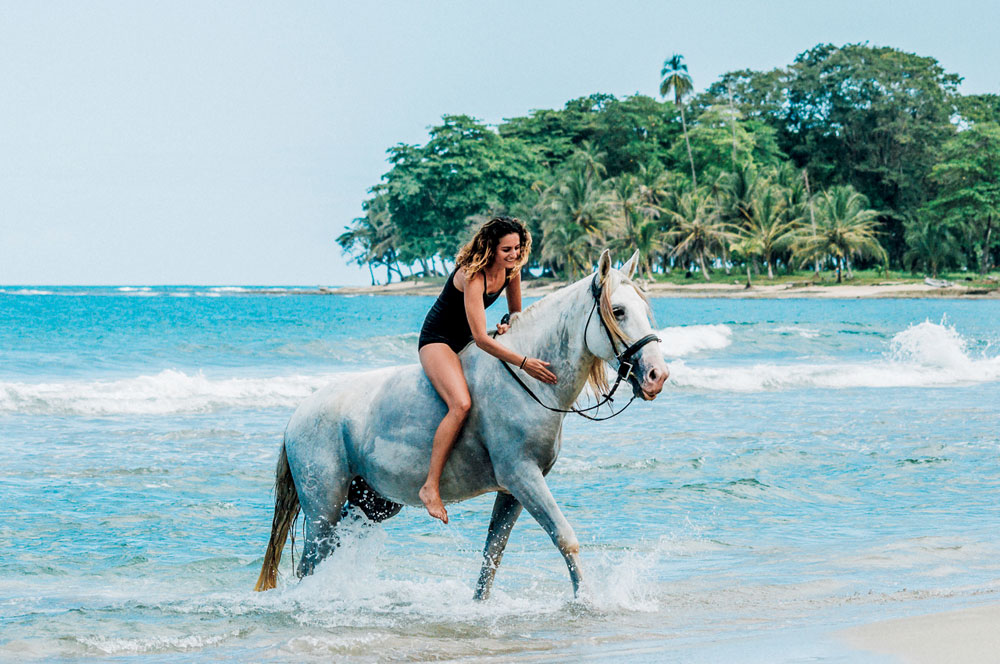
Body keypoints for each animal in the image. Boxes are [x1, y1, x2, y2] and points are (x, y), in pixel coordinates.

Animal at [254, 252, 668, 600]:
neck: (530, 381)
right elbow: (565, 537)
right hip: (323, 508)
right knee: (310, 563)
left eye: (645, 310)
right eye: (618, 311)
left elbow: (493, 554)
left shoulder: (513, 491)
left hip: (369, 505)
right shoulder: (523, 477)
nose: (657, 375)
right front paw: (587, 601)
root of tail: (297, 416)